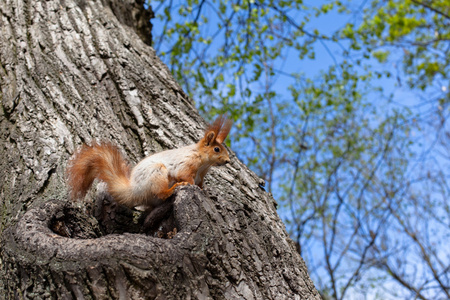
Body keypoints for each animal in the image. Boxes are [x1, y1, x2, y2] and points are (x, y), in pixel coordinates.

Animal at [67, 115, 232, 211]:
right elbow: (184, 175)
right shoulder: (186, 163)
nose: (228, 161)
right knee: (160, 193)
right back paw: (171, 189)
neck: (204, 164)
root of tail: (135, 190)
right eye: (217, 149)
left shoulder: (201, 175)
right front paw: (190, 185)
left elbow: (201, 184)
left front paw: (204, 191)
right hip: (156, 173)